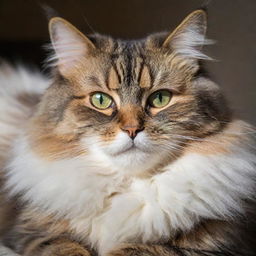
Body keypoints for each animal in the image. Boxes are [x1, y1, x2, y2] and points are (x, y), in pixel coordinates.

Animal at [0, 8, 256, 256]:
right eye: (100, 100)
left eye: (160, 98)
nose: (132, 130)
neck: (129, 185)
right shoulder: (32, 233)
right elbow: (67, 249)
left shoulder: (215, 244)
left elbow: (138, 249)